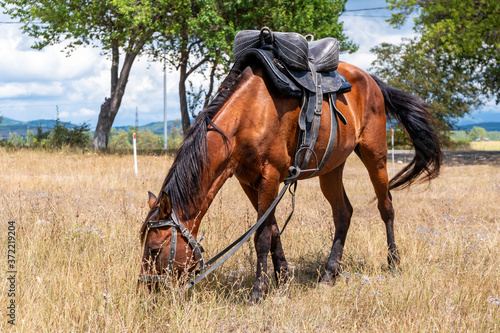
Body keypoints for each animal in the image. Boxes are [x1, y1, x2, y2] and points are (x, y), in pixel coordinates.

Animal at [137, 59, 442, 300]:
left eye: (154, 250)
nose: (147, 289)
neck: (248, 113)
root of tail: (369, 78)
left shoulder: (270, 176)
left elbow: (261, 235)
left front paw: (258, 291)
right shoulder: (249, 181)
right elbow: (272, 229)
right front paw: (282, 278)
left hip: (375, 155)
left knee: (386, 207)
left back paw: (393, 263)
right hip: (331, 168)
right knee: (343, 212)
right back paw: (329, 273)